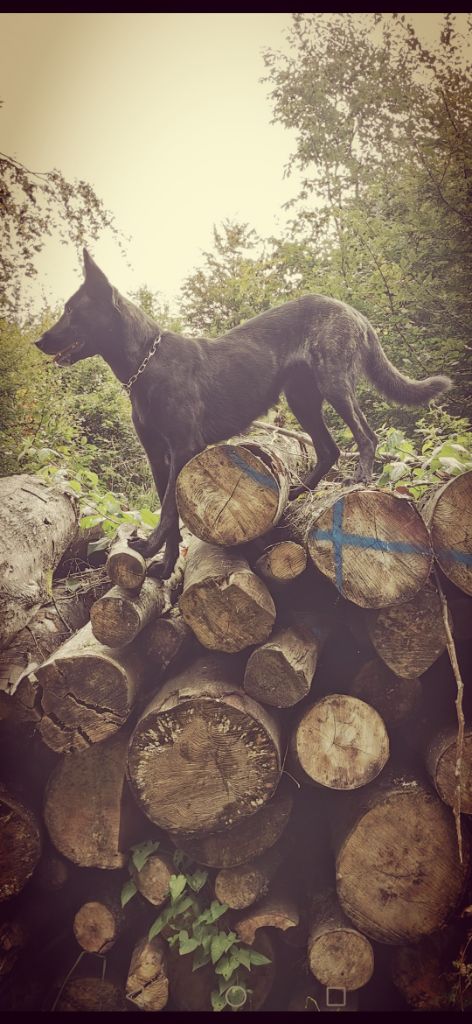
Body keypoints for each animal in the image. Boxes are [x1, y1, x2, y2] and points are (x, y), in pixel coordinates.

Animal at [35, 249, 448, 577]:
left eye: (70, 310)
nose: (38, 341)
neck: (146, 363)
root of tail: (355, 313)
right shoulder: (158, 456)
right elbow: (171, 515)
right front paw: (166, 566)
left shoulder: (183, 448)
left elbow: (169, 509)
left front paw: (148, 548)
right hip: (302, 399)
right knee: (329, 448)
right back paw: (295, 491)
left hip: (334, 384)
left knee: (366, 434)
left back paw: (359, 478)